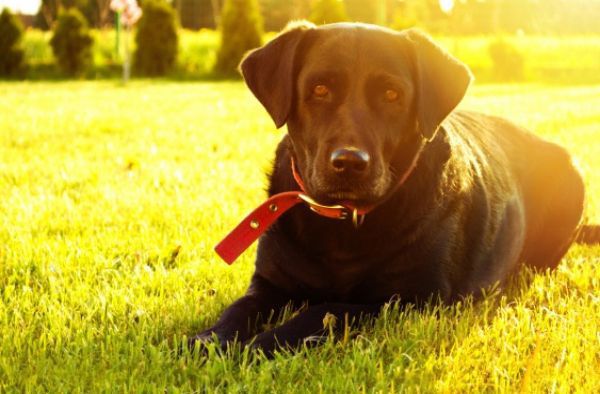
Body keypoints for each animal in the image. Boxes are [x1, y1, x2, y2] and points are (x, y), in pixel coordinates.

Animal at [190, 22, 592, 358]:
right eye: (319, 89)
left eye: (392, 94)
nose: (349, 162)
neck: (342, 227)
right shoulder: (269, 283)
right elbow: (238, 309)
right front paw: (207, 340)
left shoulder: (410, 300)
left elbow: (326, 310)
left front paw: (261, 344)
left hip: (572, 181)